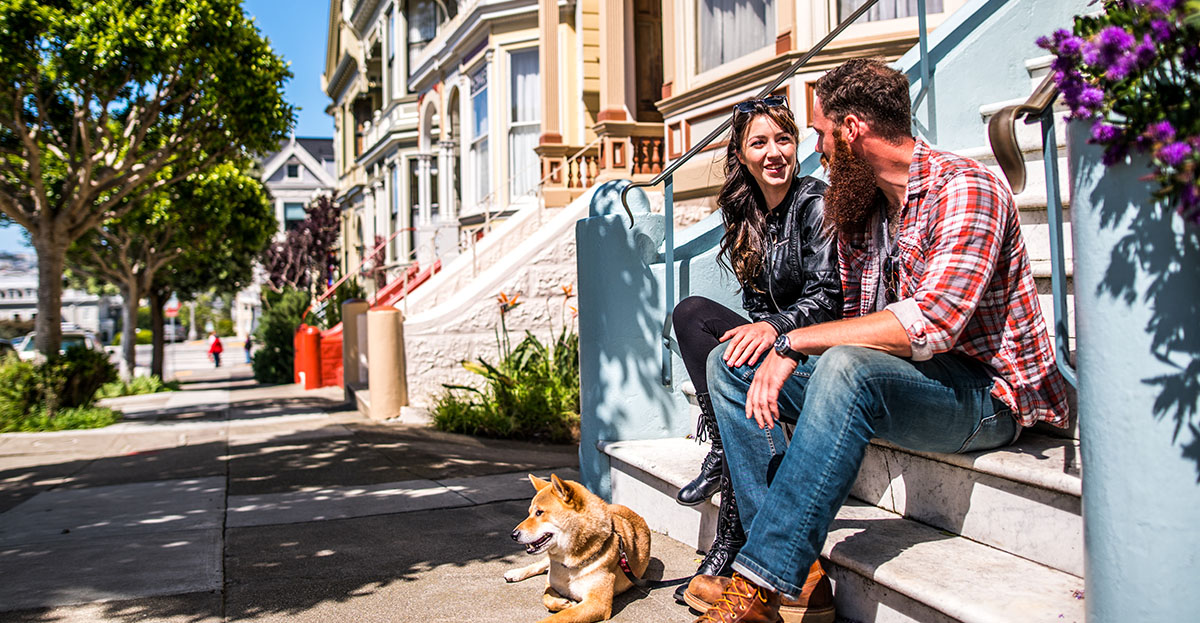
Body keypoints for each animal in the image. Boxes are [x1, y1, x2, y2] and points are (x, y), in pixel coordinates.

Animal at [506, 475, 652, 619]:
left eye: (539, 512)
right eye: (530, 512)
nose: (513, 535)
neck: (569, 565)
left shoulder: (597, 603)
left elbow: (559, 617)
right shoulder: (551, 582)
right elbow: (546, 597)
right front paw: (563, 602)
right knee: (540, 564)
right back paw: (515, 573)